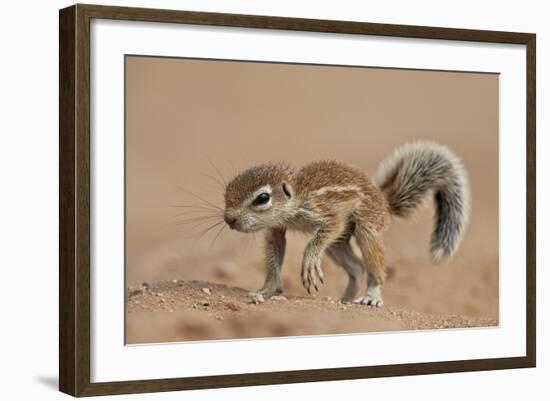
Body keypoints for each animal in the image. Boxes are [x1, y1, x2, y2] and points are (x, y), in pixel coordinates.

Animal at [223, 141, 470, 306]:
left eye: (263, 198)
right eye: (226, 192)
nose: (229, 219)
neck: (298, 195)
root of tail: (385, 203)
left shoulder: (327, 213)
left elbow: (321, 234)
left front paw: (309, 262)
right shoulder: (276, 229)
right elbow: (275, 253)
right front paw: (266, 289)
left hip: (367, 227)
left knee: (373, 266)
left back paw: (372, 296)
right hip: (337, 244)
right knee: (357, 268)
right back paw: (344, 300)